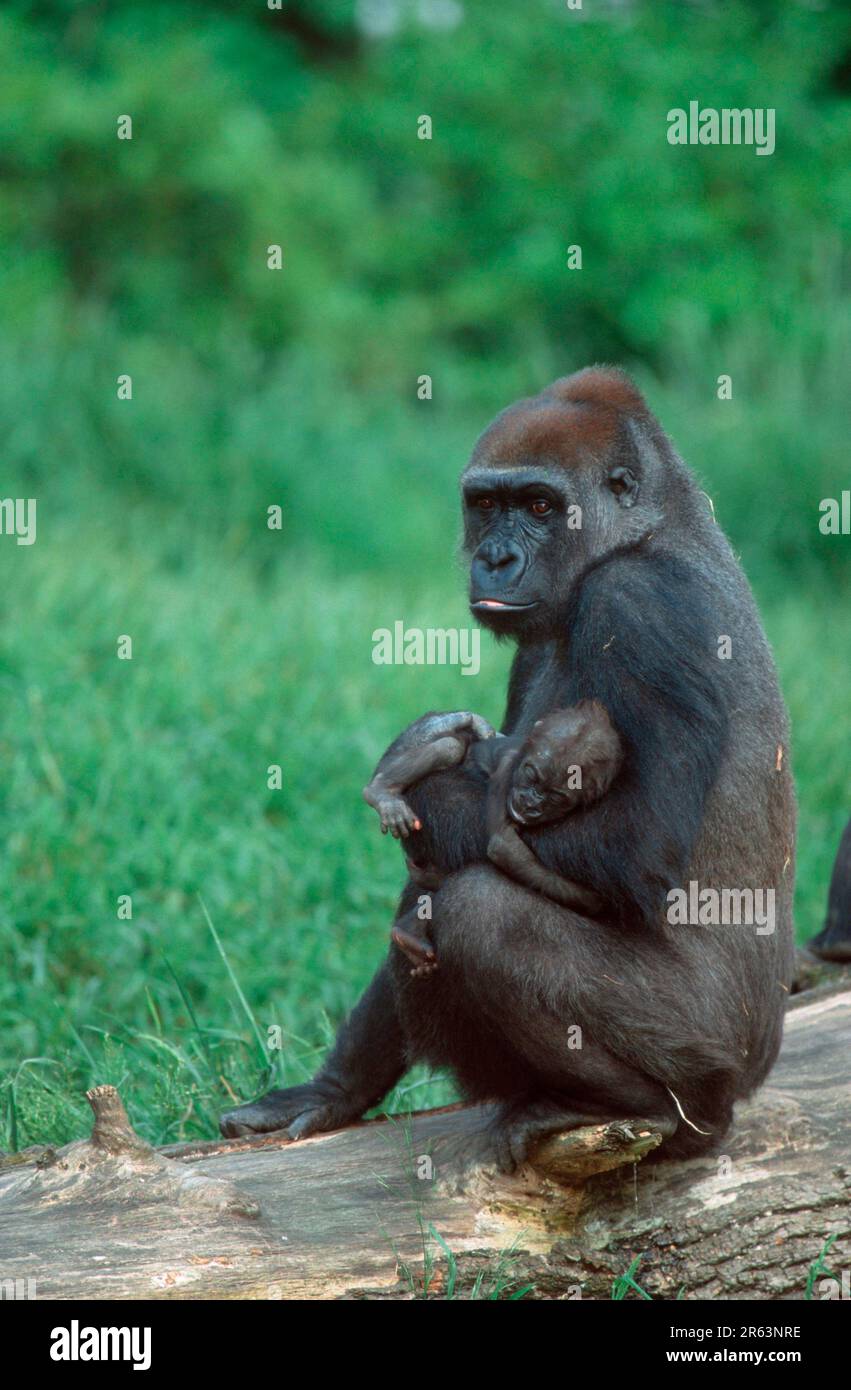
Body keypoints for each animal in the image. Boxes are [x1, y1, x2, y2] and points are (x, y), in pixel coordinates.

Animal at [364, 702, 622, 973]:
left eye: (556, 796)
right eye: (532, 775)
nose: (531, 801)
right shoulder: (507, 768)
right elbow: (502, 845)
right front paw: (596, 901)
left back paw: (409, 933)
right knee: (450, 746)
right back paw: (381, 791)